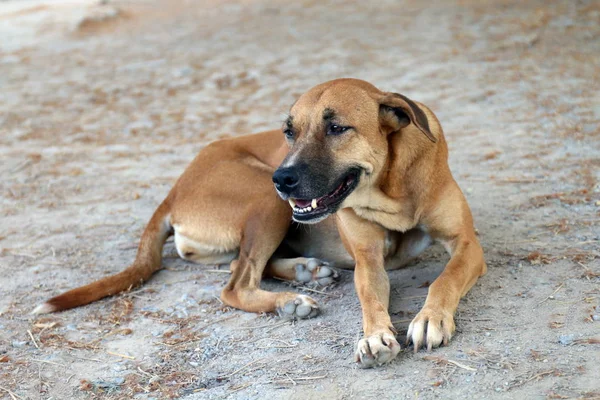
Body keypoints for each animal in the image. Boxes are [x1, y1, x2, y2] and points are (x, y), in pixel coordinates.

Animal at [32, 79, 486, 368]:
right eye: (289, 132)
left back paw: (305, 271)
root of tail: (174, 189)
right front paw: (375, 336)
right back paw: (289, 300)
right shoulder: (367, 260)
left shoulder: (468, 245)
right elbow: (370, 296)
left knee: (243, 266)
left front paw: (429, 318)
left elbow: (444, 278)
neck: (391, 188)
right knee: (235, 283)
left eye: (337, 128)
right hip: (265, 201)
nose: (282, 178)